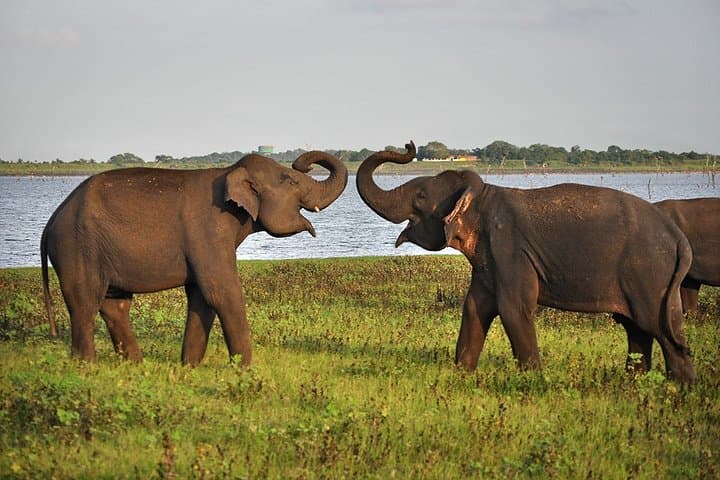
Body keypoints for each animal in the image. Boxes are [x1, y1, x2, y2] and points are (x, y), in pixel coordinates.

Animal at [41, 150, 347, 366]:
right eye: (291, 180)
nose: (302, 164)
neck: (229, 172)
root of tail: (52, 220)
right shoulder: (209, 230)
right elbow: (222, 291)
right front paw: (245, 369)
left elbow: (202, 295)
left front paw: (190, 366)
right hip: (77, 247)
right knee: (84, 303)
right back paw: (87, 365)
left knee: (115, 304)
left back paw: (136, 364)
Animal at [357, 141, 695, 382]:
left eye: (421, 196)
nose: (409, 145)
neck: (483, 193)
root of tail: (679, 238)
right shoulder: (489, 258)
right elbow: (474, 307)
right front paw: (462, 373)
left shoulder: (509, 248)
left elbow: (514, 308)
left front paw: (533, 380)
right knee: (644, 328)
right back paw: (646, 384)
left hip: (648, 273)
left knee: (655, 328)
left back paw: (677, 386)